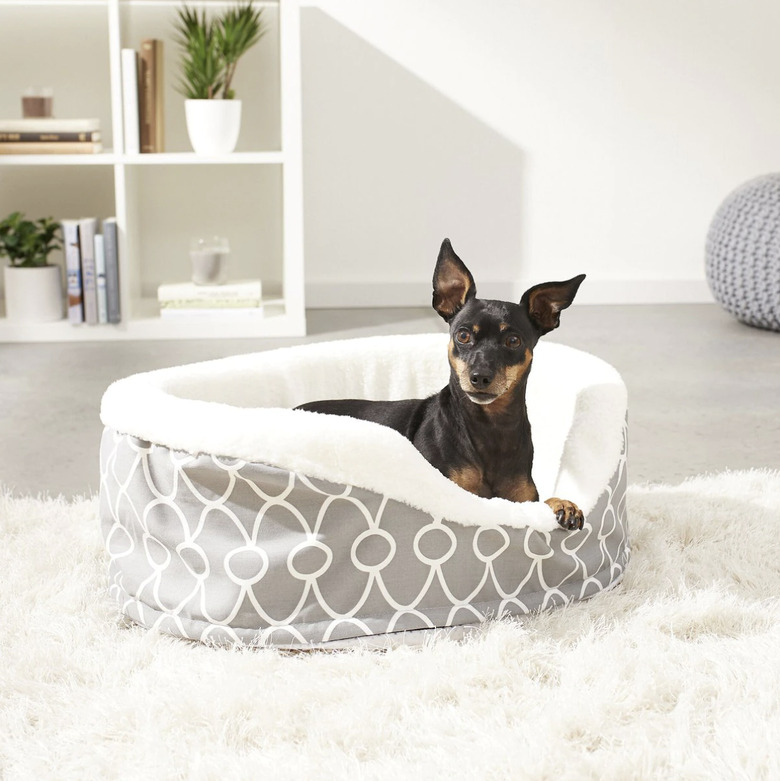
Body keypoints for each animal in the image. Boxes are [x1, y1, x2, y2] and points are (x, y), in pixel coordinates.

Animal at [298, 238, 584, 532]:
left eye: (513, 341)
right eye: (463, 335)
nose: (480, 376)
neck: (491, 427)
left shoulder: (523, 501)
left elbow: (541, 503)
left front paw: (562, 504)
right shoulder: (452, 492)